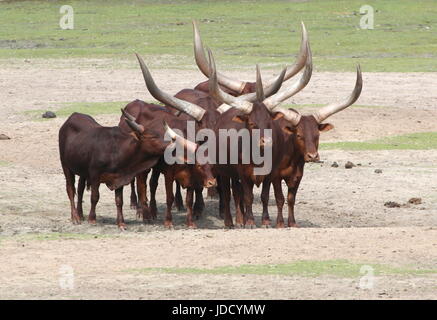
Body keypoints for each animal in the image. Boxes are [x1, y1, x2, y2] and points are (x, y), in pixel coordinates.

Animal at [58, 110, 201, 230]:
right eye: (152, 137)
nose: (173, 146)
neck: (116, 150)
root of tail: (71, 118)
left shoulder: (118, 178)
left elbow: (119, 201)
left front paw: (121, 223)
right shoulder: (94, 176)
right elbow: (95, 197)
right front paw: (92, 219)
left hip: (82, 171)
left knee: (80, 189)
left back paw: (80, 214)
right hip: (66, 166)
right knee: (71, 190)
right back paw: (75, 217)